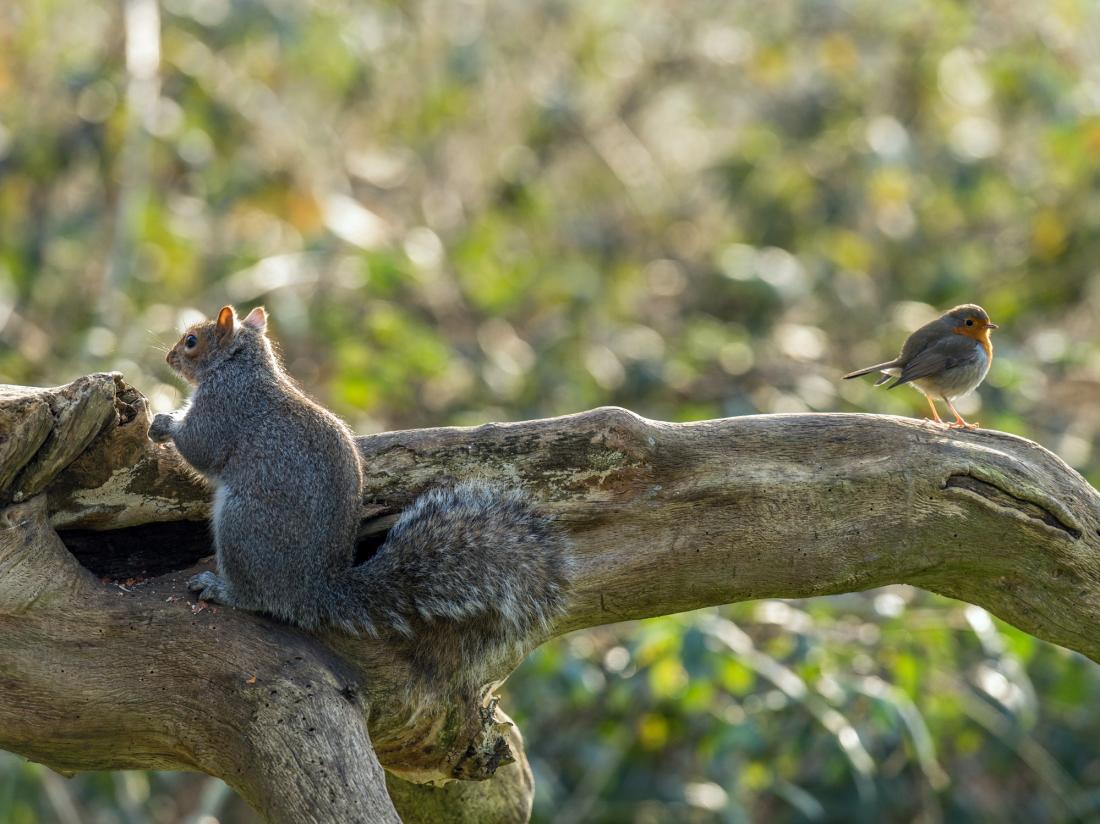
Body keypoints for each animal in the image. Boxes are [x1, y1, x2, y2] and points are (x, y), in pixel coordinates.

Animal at [148, 305, 571, 690]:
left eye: (191, 341)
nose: (168, 357)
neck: (242, 366)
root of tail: (313, 590)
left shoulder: (224, 407)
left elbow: (200, 447)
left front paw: (166, 423)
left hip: (241, 526)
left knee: (257, 597)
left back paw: (221, 589)